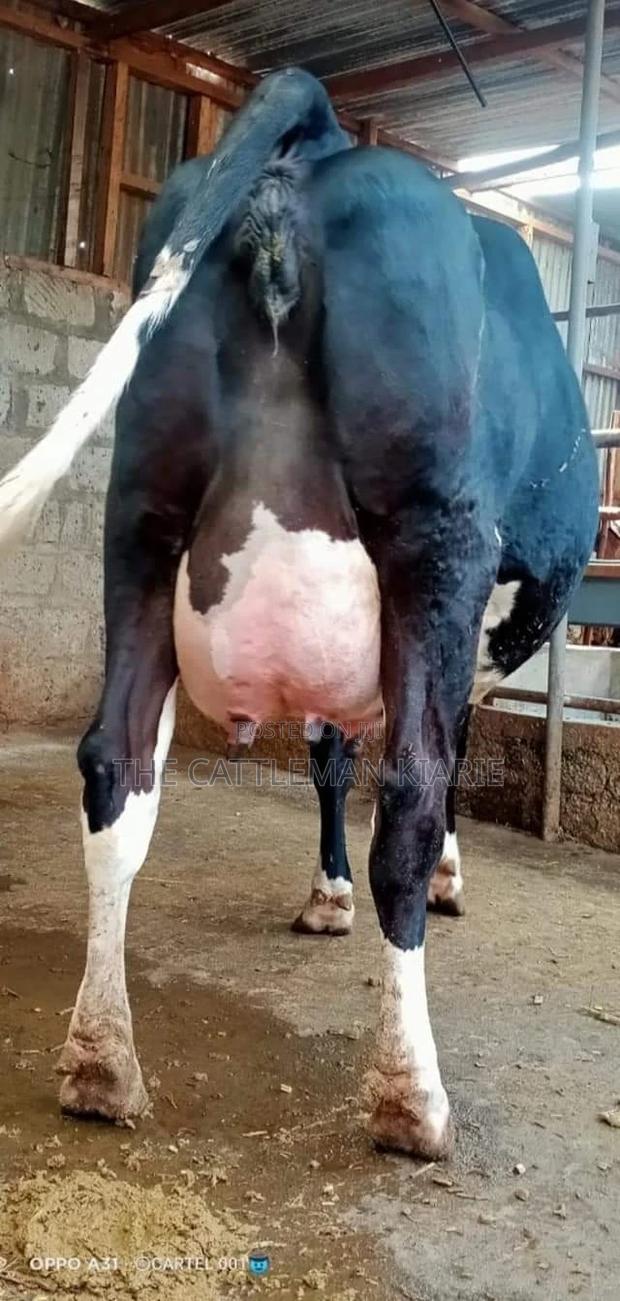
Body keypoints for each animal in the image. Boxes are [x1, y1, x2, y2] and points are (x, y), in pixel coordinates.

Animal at [0, 67, 598, 1158]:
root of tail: (316, 139)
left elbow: (326, 753)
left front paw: (325, 893)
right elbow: (431, 760)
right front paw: (433, 878)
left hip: (140, 512)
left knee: (116, 766)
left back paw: (101, 1060)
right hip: (431, 531)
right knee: (410, 788)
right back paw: (409, 1094)